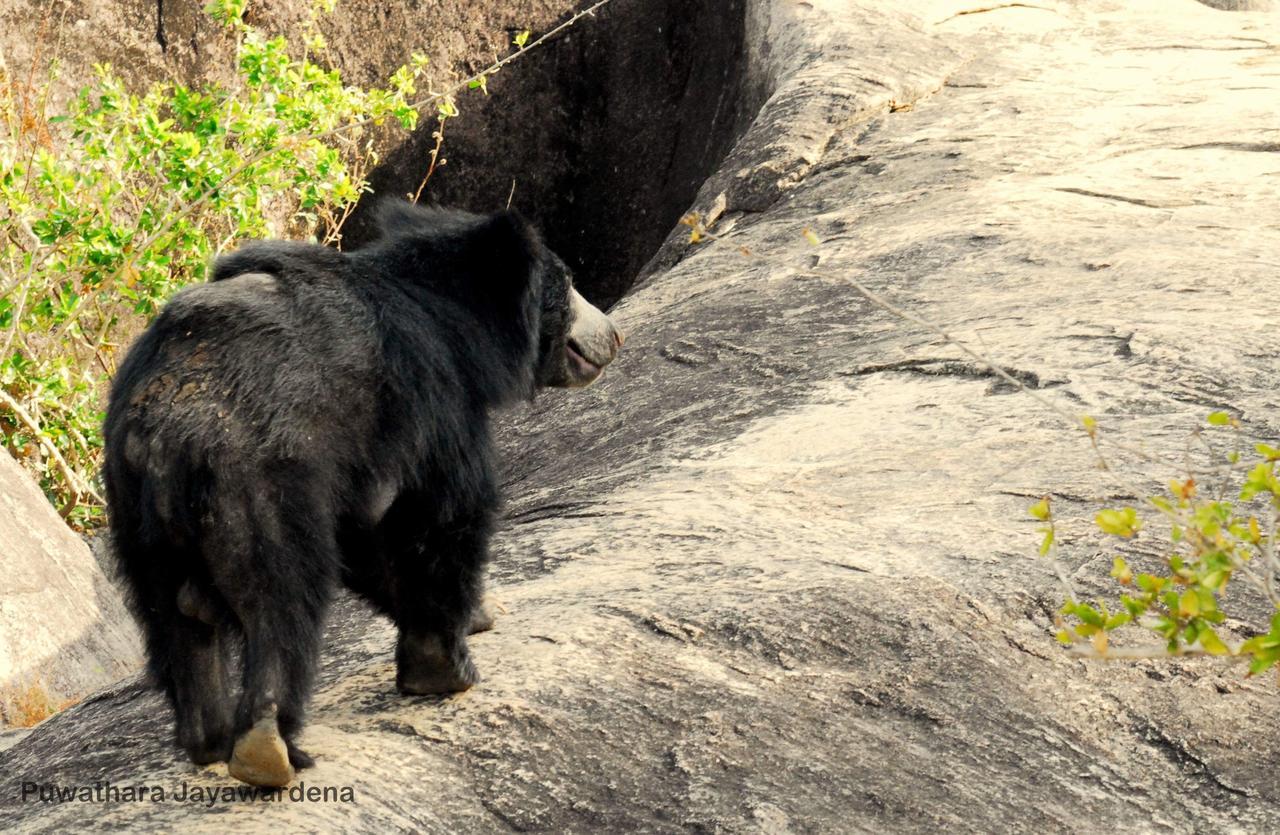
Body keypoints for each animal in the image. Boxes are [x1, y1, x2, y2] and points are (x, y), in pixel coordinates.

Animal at [102, 198, 622, 783]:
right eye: (569, 284)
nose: (614, 335)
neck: (451, 316)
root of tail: (161, 423)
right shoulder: (430, 398)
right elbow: (437, 515)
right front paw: (446, 666)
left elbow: (368, 540)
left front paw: (481, 615)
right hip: (259, 478)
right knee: (282, 595)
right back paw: (269, 747)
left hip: (135, 518)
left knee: (175, 620)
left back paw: (208, 739)